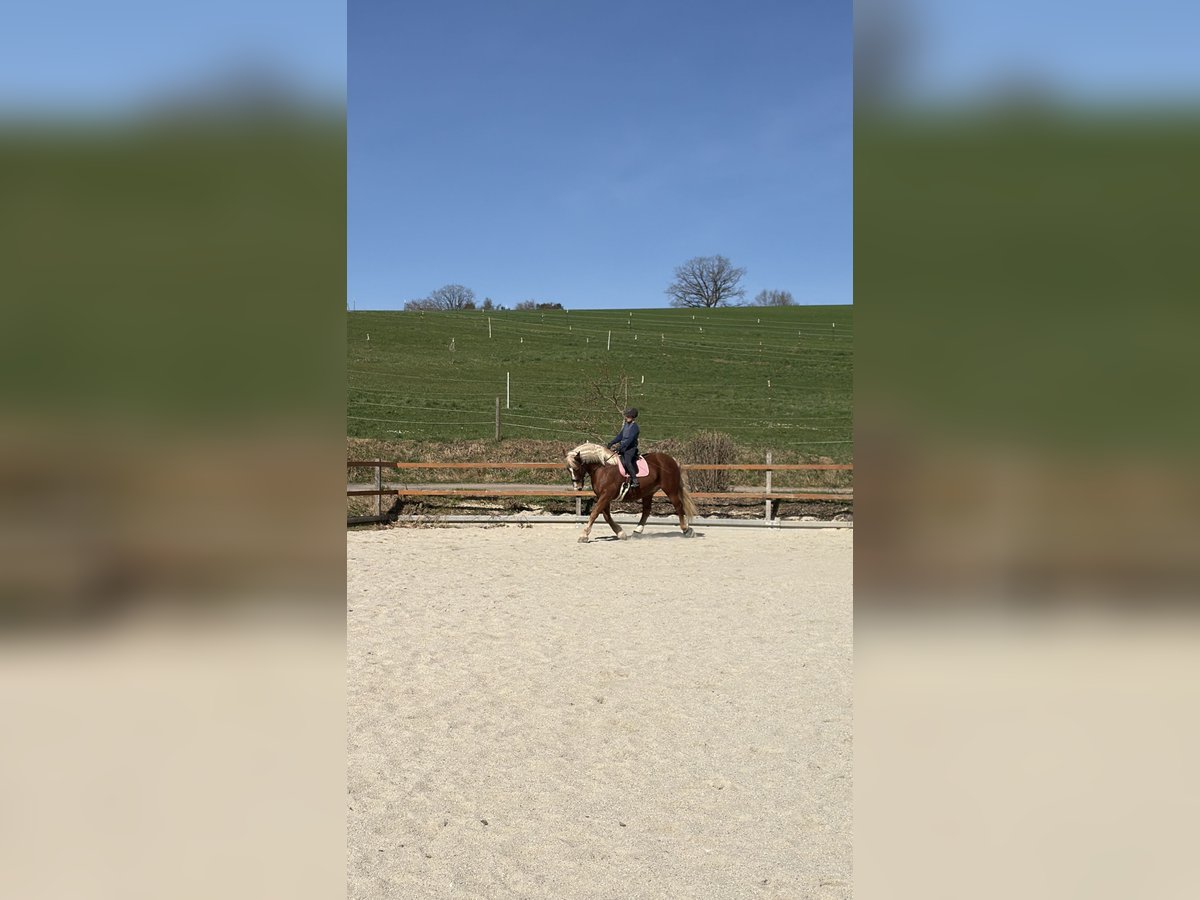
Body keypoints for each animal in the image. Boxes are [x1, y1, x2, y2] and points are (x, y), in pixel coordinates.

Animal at [565, 442, 698, 542]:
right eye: (568, 469)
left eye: (576, 468)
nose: (577, 487)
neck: (603, 468)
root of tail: (672, 460)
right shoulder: (603, 496)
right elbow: (607, 516)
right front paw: (621, 533)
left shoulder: (606, 495)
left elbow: (595, 513)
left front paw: (584, 535)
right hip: (648, 492)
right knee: (646, 511)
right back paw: (637, 531)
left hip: (671, 489)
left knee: (678, 506)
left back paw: (687, 530)